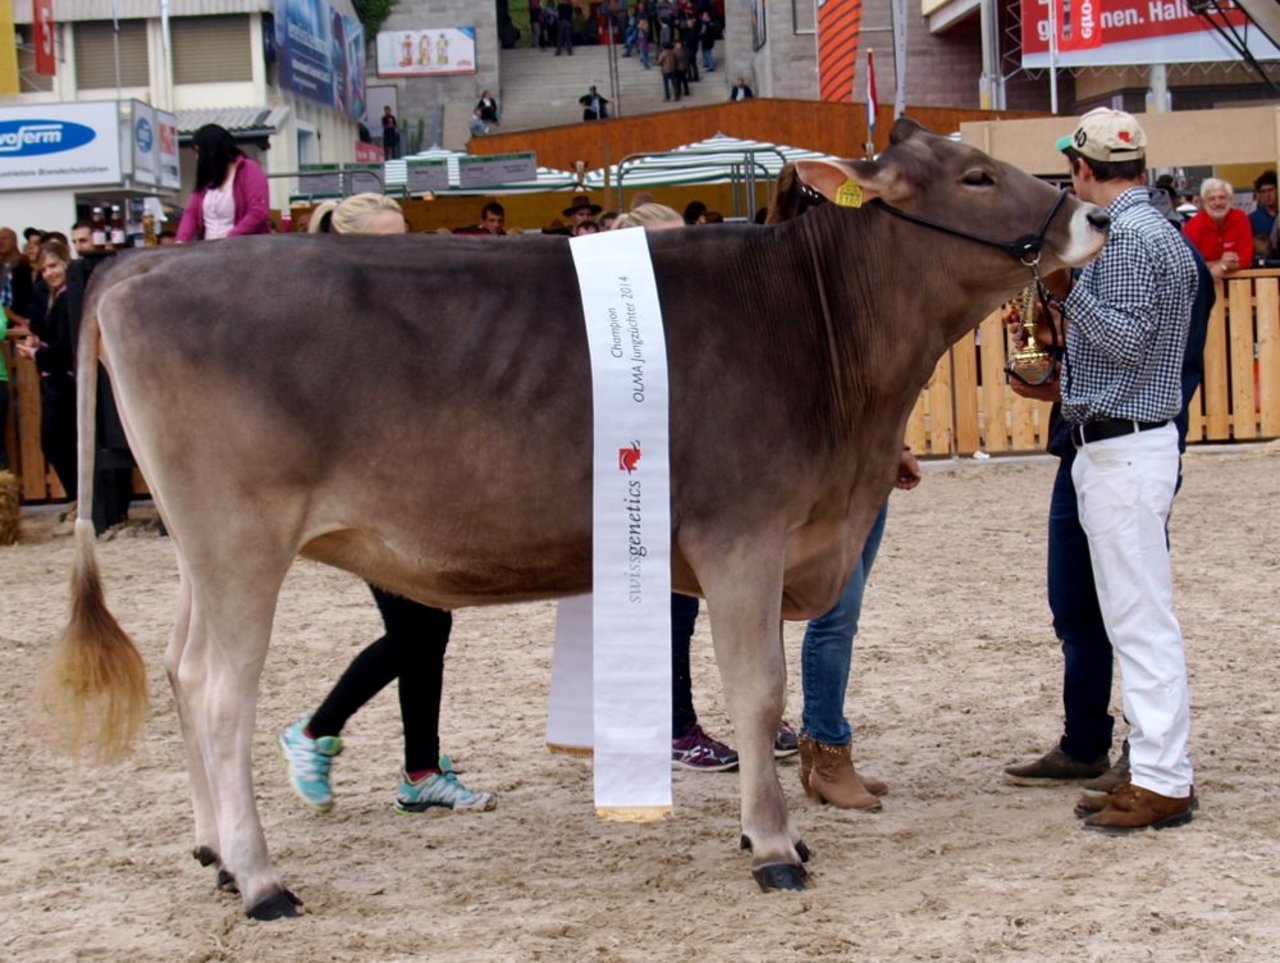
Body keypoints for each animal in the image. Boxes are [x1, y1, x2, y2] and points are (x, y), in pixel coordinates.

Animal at [42, 120, 1111, 916]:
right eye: (976, 175)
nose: (1096, 213)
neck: (818, 334)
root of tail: (140, 270)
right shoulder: (743, 535)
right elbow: (758, 690)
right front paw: (774, 847)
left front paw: (775, 828)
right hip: (240, 541)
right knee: (220, 690)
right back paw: (262, 878)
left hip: (203, 552)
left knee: (179, 668)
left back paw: (214, 851)